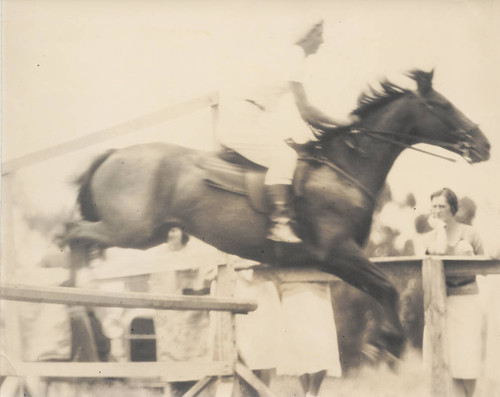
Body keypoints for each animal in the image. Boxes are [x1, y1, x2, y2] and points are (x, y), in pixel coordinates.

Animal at [60, 69, 490, 360]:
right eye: (442, 106)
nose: (484, 144)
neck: (344, 169)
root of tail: (113, 154)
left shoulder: (337, 261)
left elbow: (379, 290)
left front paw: (382, 341)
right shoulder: (338, 252)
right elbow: (387, 288)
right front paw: (387, 342)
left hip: (143, 233)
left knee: (76, 239)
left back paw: (83, 313)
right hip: (131, 230)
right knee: (71, 232)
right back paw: (79, 305)